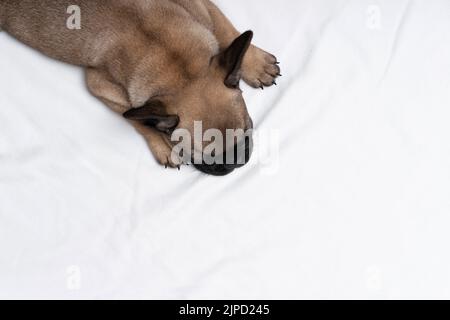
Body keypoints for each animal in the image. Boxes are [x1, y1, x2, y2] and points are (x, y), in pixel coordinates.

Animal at [0, 0, 282, 175]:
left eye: (248, 131)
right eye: (200, 154)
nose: (237, 162)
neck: (180, 67)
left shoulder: (201, 6)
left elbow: (226, 28)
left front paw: (256, 63)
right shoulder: (100, 87)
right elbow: (136, 118)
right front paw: (163, 144)